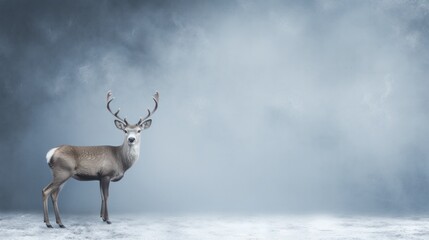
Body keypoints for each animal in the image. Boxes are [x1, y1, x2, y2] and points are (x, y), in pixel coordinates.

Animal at [42, 91, 159, 228]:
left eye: (139, 130)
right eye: (125, 131)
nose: (131, 139)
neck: (120, 160)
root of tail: (51, 153)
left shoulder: (99, 177)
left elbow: (102, 196)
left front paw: (102, 217)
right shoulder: (106, 174)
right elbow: (106, 196)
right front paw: (108, 219)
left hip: (62, 174)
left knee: (54, 194)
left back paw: (59, 223)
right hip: (63, 172)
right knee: (46, 191)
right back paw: (49, 223)